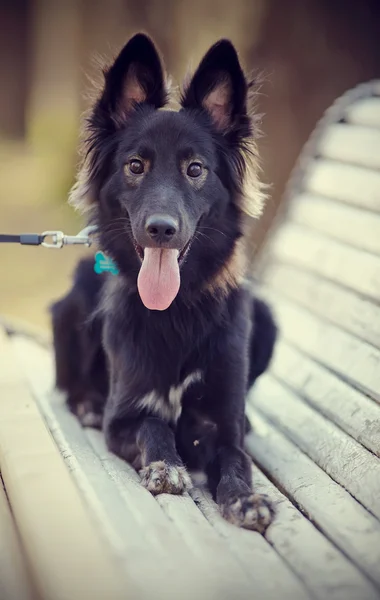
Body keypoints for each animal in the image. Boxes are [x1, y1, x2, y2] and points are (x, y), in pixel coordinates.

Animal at [51, 34, 276, 528]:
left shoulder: (222, 425)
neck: (177, 309)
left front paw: (245, 497)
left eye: (195, 169)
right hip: (75, 295)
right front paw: (166, 466)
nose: (160, 229)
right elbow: (153, 424)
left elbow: (236, 457)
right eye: (135, 166)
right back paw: (86, 404)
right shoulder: (124, 417)